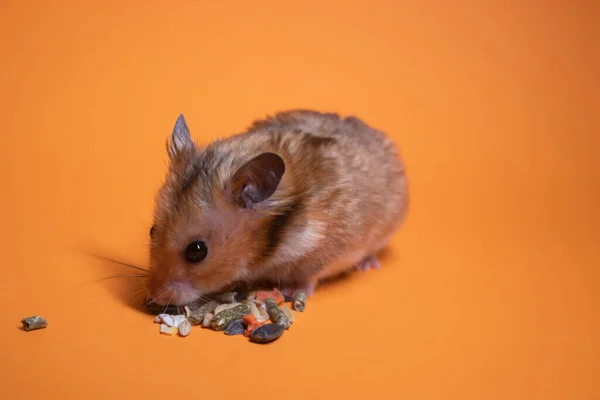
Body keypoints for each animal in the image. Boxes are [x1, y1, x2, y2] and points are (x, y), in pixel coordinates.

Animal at [146, 109, 408, 306]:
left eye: (197, 251)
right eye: (152, 230)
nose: (155, 297)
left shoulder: (325, 253)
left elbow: (309, 278)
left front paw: (289, 291)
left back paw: (367, 265)